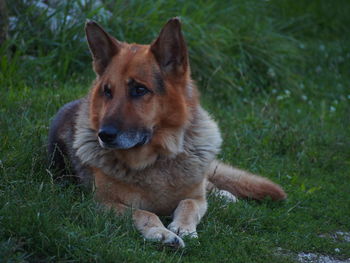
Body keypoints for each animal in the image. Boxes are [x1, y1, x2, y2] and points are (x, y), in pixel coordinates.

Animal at [47, 17, 288, 249]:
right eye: (108, 91)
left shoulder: (195, 198)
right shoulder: (102, 204)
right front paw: (162, 233)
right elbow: (143, 212)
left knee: (208, 182)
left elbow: (188, 203)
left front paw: (184, 227)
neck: (157, 159)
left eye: (140, 89)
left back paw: (224, 195)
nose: (104, 135)